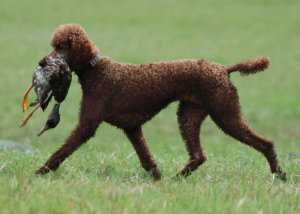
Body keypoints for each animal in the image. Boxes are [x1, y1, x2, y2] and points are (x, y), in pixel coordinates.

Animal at [34, 23, 286, 181]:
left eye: (60, 46)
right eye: (54, 45)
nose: (42, 62)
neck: (97, 70)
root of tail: (224, 69)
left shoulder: (88, 124)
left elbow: (62, 151)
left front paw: (39, 172)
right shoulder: (132, 127)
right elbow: (146, 159)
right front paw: (158, 179)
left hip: (226, 114)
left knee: (265, 143)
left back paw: (279, 173)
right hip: (189, 115)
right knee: (199, 155)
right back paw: (177, 179)